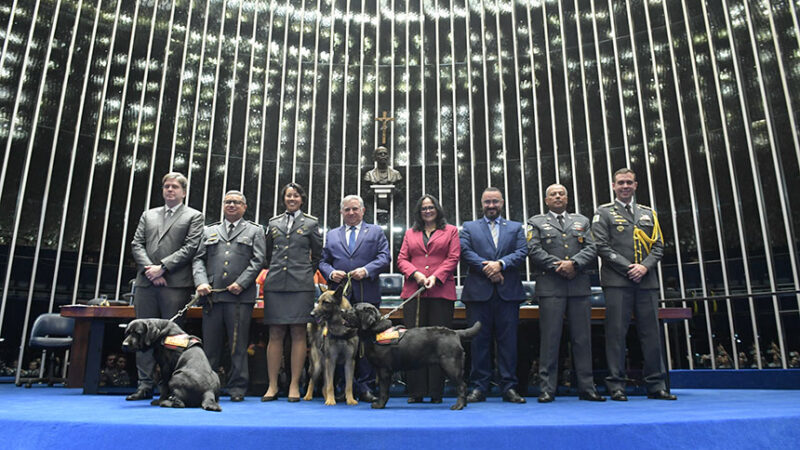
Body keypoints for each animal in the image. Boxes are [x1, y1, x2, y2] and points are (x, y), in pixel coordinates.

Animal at [340, 302, 478, 412]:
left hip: (450, 366)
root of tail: (455, 333)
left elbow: (383, 390)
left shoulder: (384, 369)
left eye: (354, 308)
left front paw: (379, 405)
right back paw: (464, 404)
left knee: (462, 385)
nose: (341, 310)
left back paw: (458, 406)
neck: (375, 332)